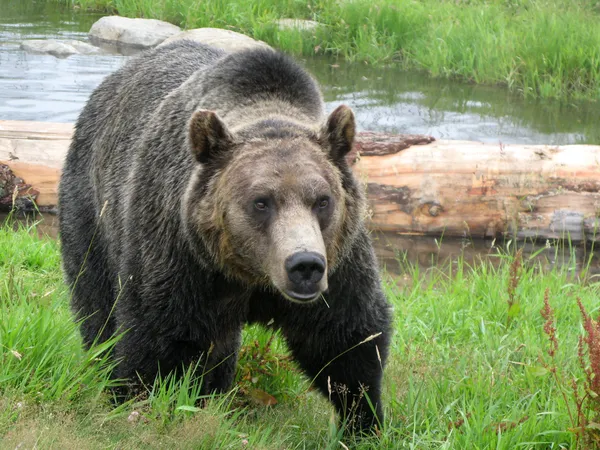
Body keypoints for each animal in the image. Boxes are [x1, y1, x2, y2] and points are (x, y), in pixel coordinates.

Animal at [58, 42, 392, 432]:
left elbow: (348, 340)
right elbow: (158, 337)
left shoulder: (339, 262)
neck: (252, 276)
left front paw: (363, 420)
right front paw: (141, 404)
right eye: (261, 201)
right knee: (96, 303)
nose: (304, 265)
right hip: (91, 207)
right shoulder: (181, 256)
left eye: (322, 200)